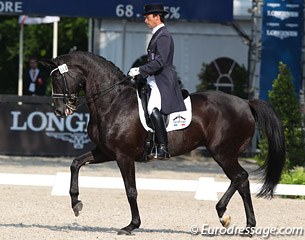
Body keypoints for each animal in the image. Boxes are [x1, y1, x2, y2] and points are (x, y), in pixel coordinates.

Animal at [39, 52, 284, 234]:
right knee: (241, 181)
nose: (59, 111)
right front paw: (75, 203)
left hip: (223, 153)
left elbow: (131, 190)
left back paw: (224, 213)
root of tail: (246, 103)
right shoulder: (106, 152)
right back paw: (247, 226)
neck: (113, 101)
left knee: (240, 177)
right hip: (226, 154)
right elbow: (76, 163)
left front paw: (131, 226)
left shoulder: (123, 156)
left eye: (57, 79)